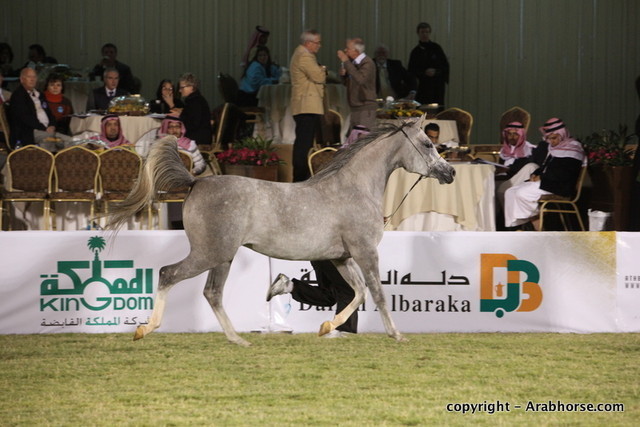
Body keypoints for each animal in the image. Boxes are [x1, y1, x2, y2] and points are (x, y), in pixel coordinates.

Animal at [107, 115, 455, 346]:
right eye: (427, 143)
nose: (449, 172)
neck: (355, 187)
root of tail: (196, 182)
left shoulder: (342, 257)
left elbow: (357, 293)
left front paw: (327, 327)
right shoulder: (365, 251)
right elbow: (378, 293)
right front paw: (397, 334)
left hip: (221, 256)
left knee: (210, 292)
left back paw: (237, 336)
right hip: (211, 253)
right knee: (174, 276)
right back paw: (153, 330)